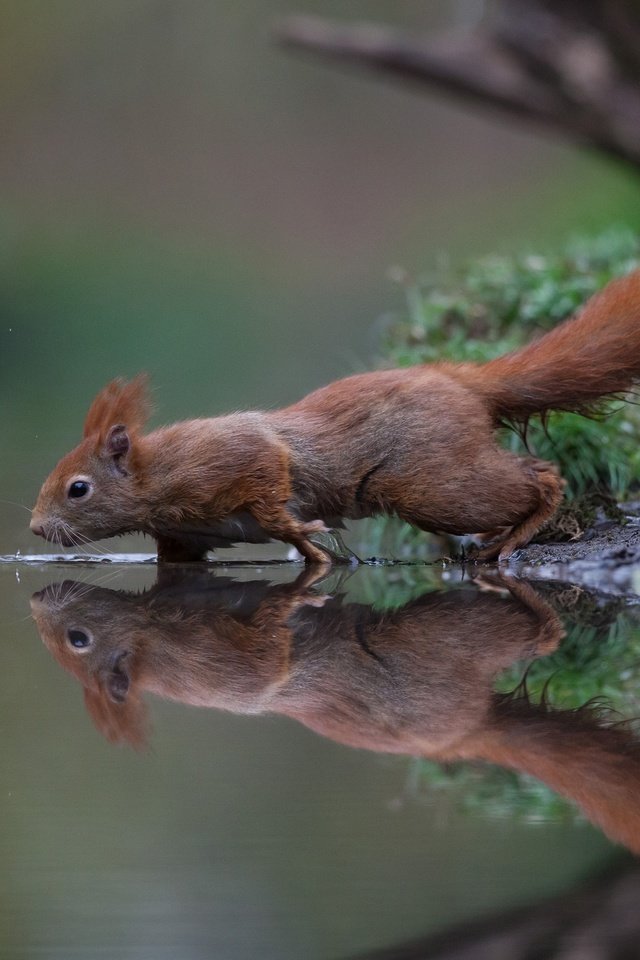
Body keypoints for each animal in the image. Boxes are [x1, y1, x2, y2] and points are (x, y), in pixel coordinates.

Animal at [28, 268, 640, 564]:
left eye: (78, 488)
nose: (35, 528)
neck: (157, 476)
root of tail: (457, 380)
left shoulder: (231, 459)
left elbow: (270, 484)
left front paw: (300, 532)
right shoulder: (183, 538)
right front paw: (313, 551)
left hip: (435, 483)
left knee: (541, 477)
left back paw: (517, 535)